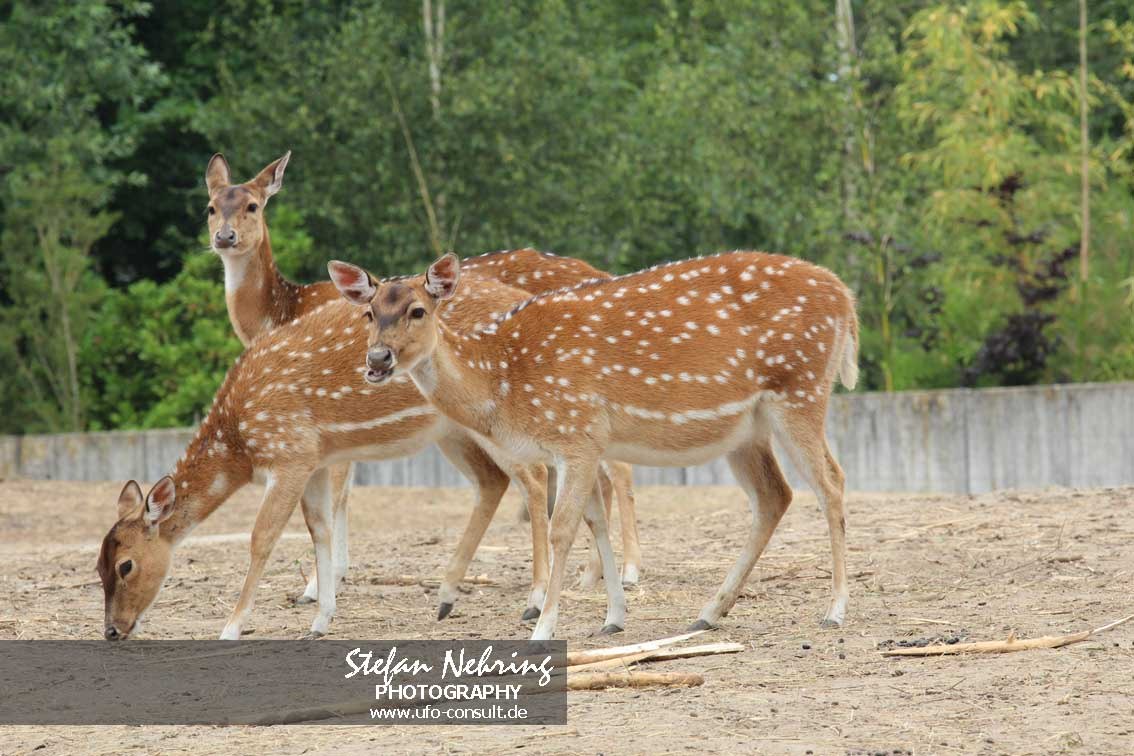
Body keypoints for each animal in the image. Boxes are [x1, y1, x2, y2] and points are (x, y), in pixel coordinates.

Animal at [203, 152, 641, 604]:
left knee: (594, 469)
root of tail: (602, 273)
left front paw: (315, 586)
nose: (225, 237)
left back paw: (612, 575)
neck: (282, 313)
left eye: (253, 205)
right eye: (211, 207)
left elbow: (339, 491)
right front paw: (333, 577)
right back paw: (592, 575)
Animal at [329, 251, 858, 640]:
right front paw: (613, 620)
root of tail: (846, 298)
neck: (506, 381)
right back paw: (709, 611)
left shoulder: (577, 431)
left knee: (832, 482)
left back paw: (834, 609)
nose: (378, 359)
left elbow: (562, 527)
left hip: (801, 391)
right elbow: (595, 521)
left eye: (418, 310)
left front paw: (543, 627)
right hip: (747, 428)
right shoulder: (582, 445)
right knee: (774, 495)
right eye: (369, 313)